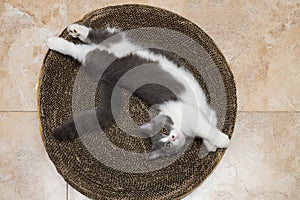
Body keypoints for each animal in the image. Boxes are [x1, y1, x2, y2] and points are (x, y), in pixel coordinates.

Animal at [47, 23, 230, 159]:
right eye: (165, 141)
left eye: (165, 131)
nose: (172, 137)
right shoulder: (191, 115)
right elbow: (206, 129)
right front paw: (221, 141)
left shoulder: (205, 113)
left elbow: (211, 121)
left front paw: (210, 144)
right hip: (95, 57)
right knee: (77, 50)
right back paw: (54, 42)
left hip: (112, 39)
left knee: (94, 35)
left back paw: (76, 30)